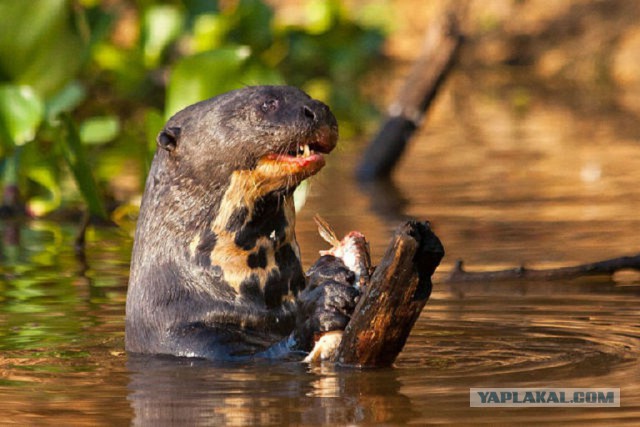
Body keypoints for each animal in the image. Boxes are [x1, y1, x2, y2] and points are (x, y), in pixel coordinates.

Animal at [124, 85, 360, 360]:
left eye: (306, 95)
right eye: (267, 103)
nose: (319, 109)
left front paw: (328, 271)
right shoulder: (190, 341)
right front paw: (323, 304)